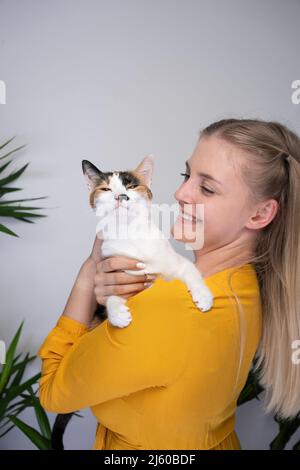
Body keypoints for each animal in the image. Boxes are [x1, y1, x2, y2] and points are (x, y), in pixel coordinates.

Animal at [82, 154, 213, 326]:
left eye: (131, 186)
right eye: (105, 189)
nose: (121, 196)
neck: (130, 232)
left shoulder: (176, 262)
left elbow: (191, 270)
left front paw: (203, 295)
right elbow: (111, 296)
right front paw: (116, 312)